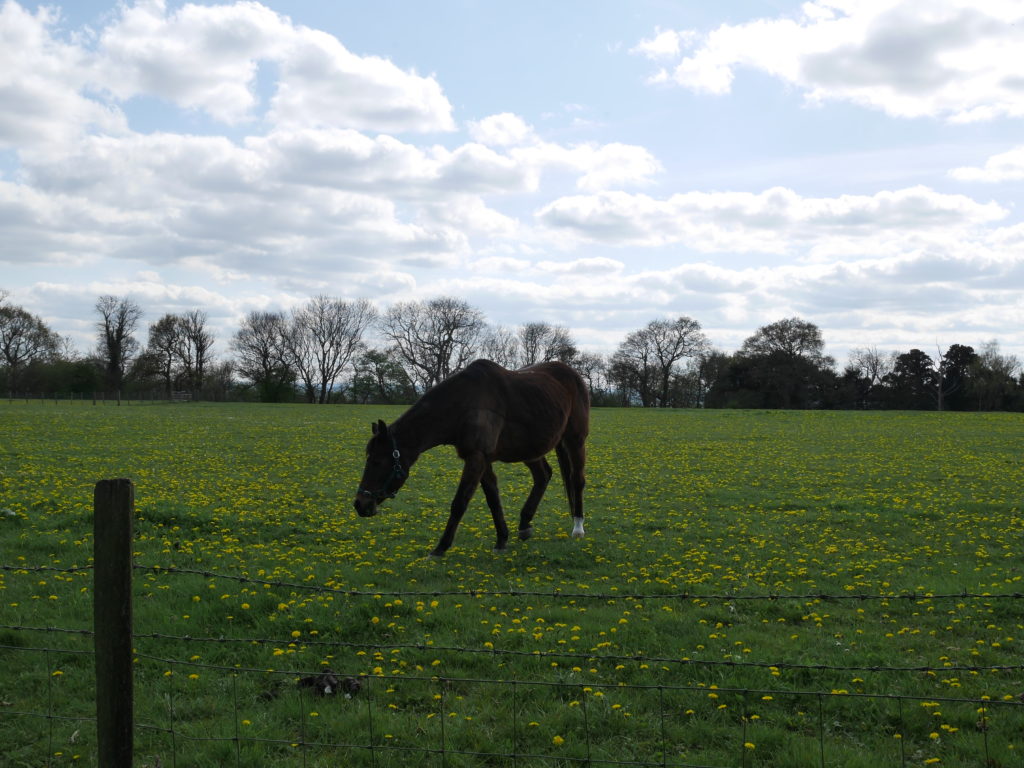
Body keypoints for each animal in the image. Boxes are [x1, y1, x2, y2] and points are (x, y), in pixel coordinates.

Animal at [353, 359, 590, 557]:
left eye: (377, 461)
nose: (360, 504)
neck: (464, 403)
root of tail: (571, 373)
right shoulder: (481, 459)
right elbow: (493, 500)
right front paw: (501, 540)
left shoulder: (476, 458)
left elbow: (460, 503)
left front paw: (440, 548)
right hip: (530, 449)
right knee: (543, 476)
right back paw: (524, 525)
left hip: (575, 440)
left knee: (576, 480)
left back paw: (578, 528)